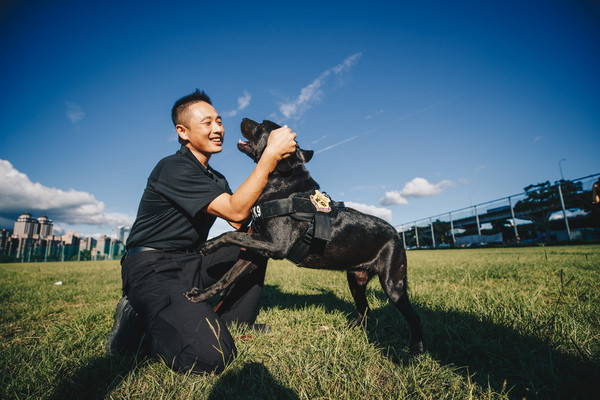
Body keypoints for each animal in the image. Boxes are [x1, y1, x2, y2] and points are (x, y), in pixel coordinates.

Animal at [185, 119, 424, 354]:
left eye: (262, 125)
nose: (243, 119)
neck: (281, 184)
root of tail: (396, 234)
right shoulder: (256, 252)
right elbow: (227, 277)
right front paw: (200, 295)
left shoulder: (276, 245)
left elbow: (229, 234)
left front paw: (208, 245)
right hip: (355, 279)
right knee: (364, 309)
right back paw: (347, 332)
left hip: (393, 284)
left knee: (413, 316)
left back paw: (416, 350)